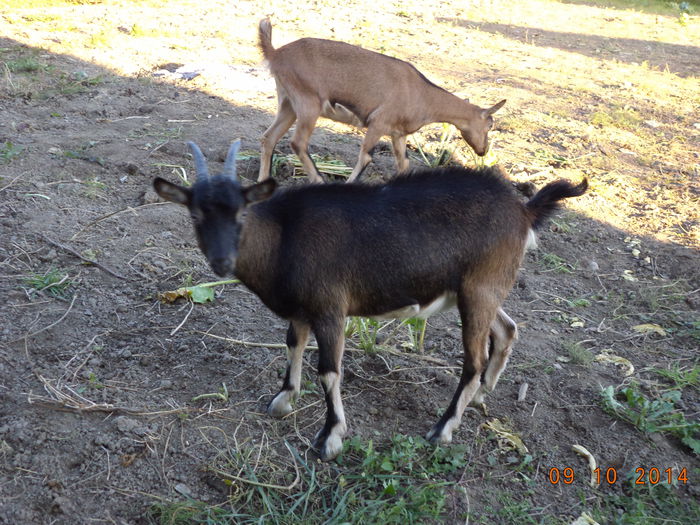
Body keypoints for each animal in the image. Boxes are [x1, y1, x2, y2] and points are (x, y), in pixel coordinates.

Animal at [156, 142, 588, 458]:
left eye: (242, 212)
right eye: (195, 214)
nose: (221, 261)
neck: (283, 235)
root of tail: (525, 210)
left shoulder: (330, 308)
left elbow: (329, 370)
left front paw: (330, 437)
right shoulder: (302, 309)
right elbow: (292, 345)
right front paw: (283, 400)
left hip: (478, 289)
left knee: (475, 360)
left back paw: (443, 428)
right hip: (482, 289)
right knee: (507, 330)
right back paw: (482, 396)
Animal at [258, 18, 504, 182]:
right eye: (490, 125)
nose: (483, 151)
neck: (422, 94)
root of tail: (276, 53)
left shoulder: (398, 134)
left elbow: (404, 164)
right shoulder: (377, 123)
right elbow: (366, 157)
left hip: (288, 103)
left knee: (268, 138)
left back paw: (263, 183)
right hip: (309, 104)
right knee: (298, 142)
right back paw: (318, 180)